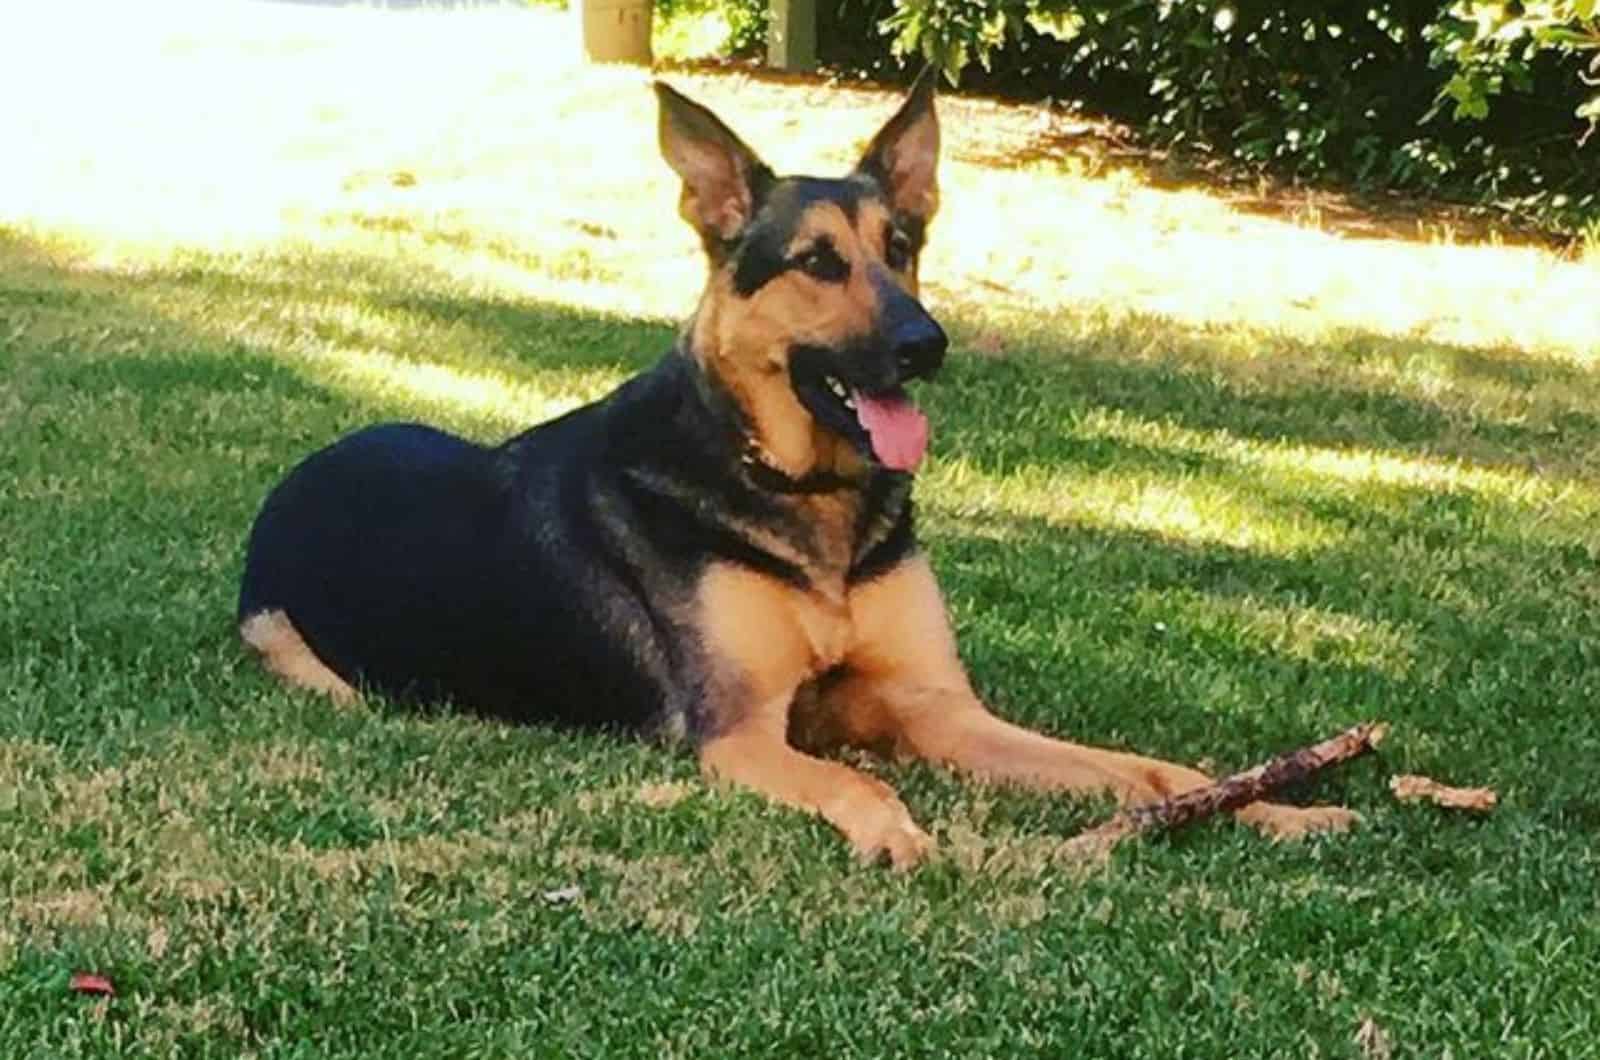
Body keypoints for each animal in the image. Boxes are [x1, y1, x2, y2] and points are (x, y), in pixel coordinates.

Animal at [236, 72, 1356, 871]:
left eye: (901, 245)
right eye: (817, 262)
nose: (925, 345)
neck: (803, 492)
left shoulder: (938, 709)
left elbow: (1143, 769)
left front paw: (1276, 806)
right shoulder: (738, 733)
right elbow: (858, 783)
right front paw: (893, 829)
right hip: (287, 641)